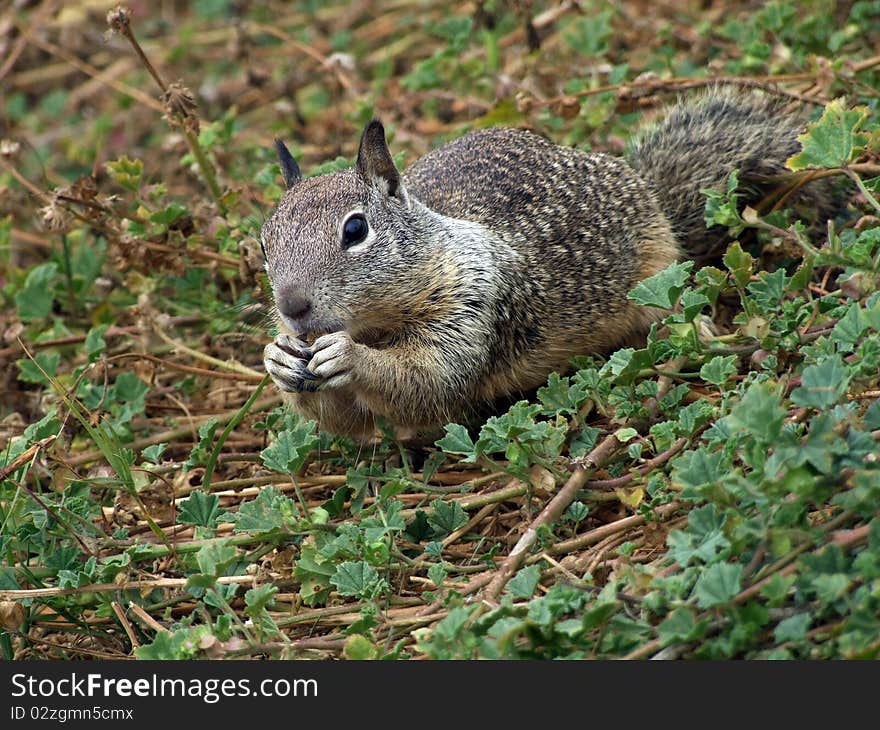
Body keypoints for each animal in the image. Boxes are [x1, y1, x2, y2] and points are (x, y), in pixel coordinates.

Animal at [260, 87, 832, 436]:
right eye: (265, 244)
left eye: (355, 230)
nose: (292, 307)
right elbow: (346, 424)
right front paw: (279, 359)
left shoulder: (475, 306)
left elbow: (428, 381)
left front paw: (351, 358)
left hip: (656, 278)